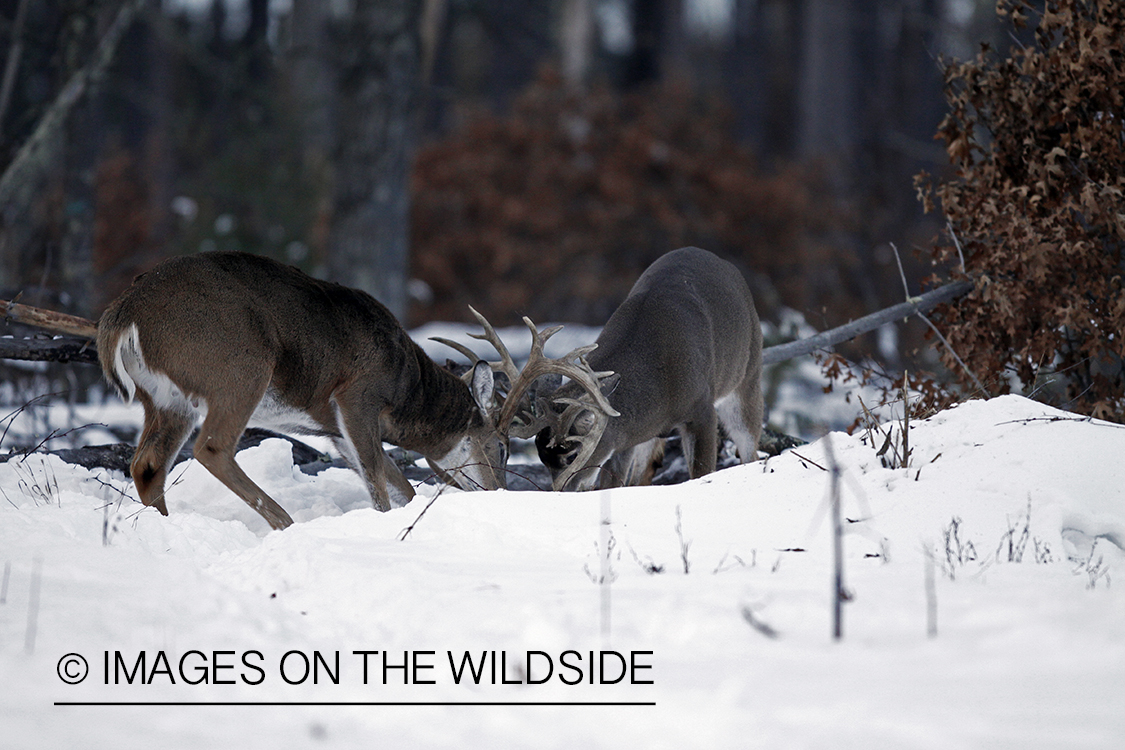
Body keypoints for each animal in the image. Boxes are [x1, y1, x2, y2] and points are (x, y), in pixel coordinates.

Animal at [94, 251, 508, 528]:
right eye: (502, 446)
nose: (497, 491)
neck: (407, 391)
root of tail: (123, 315)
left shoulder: (335, 431)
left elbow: (399, 485)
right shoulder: (357, 395)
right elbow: (378, 483)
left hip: (167, 399)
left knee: (147, 464)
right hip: (238, 369)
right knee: (211, 448)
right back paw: (284, 522)